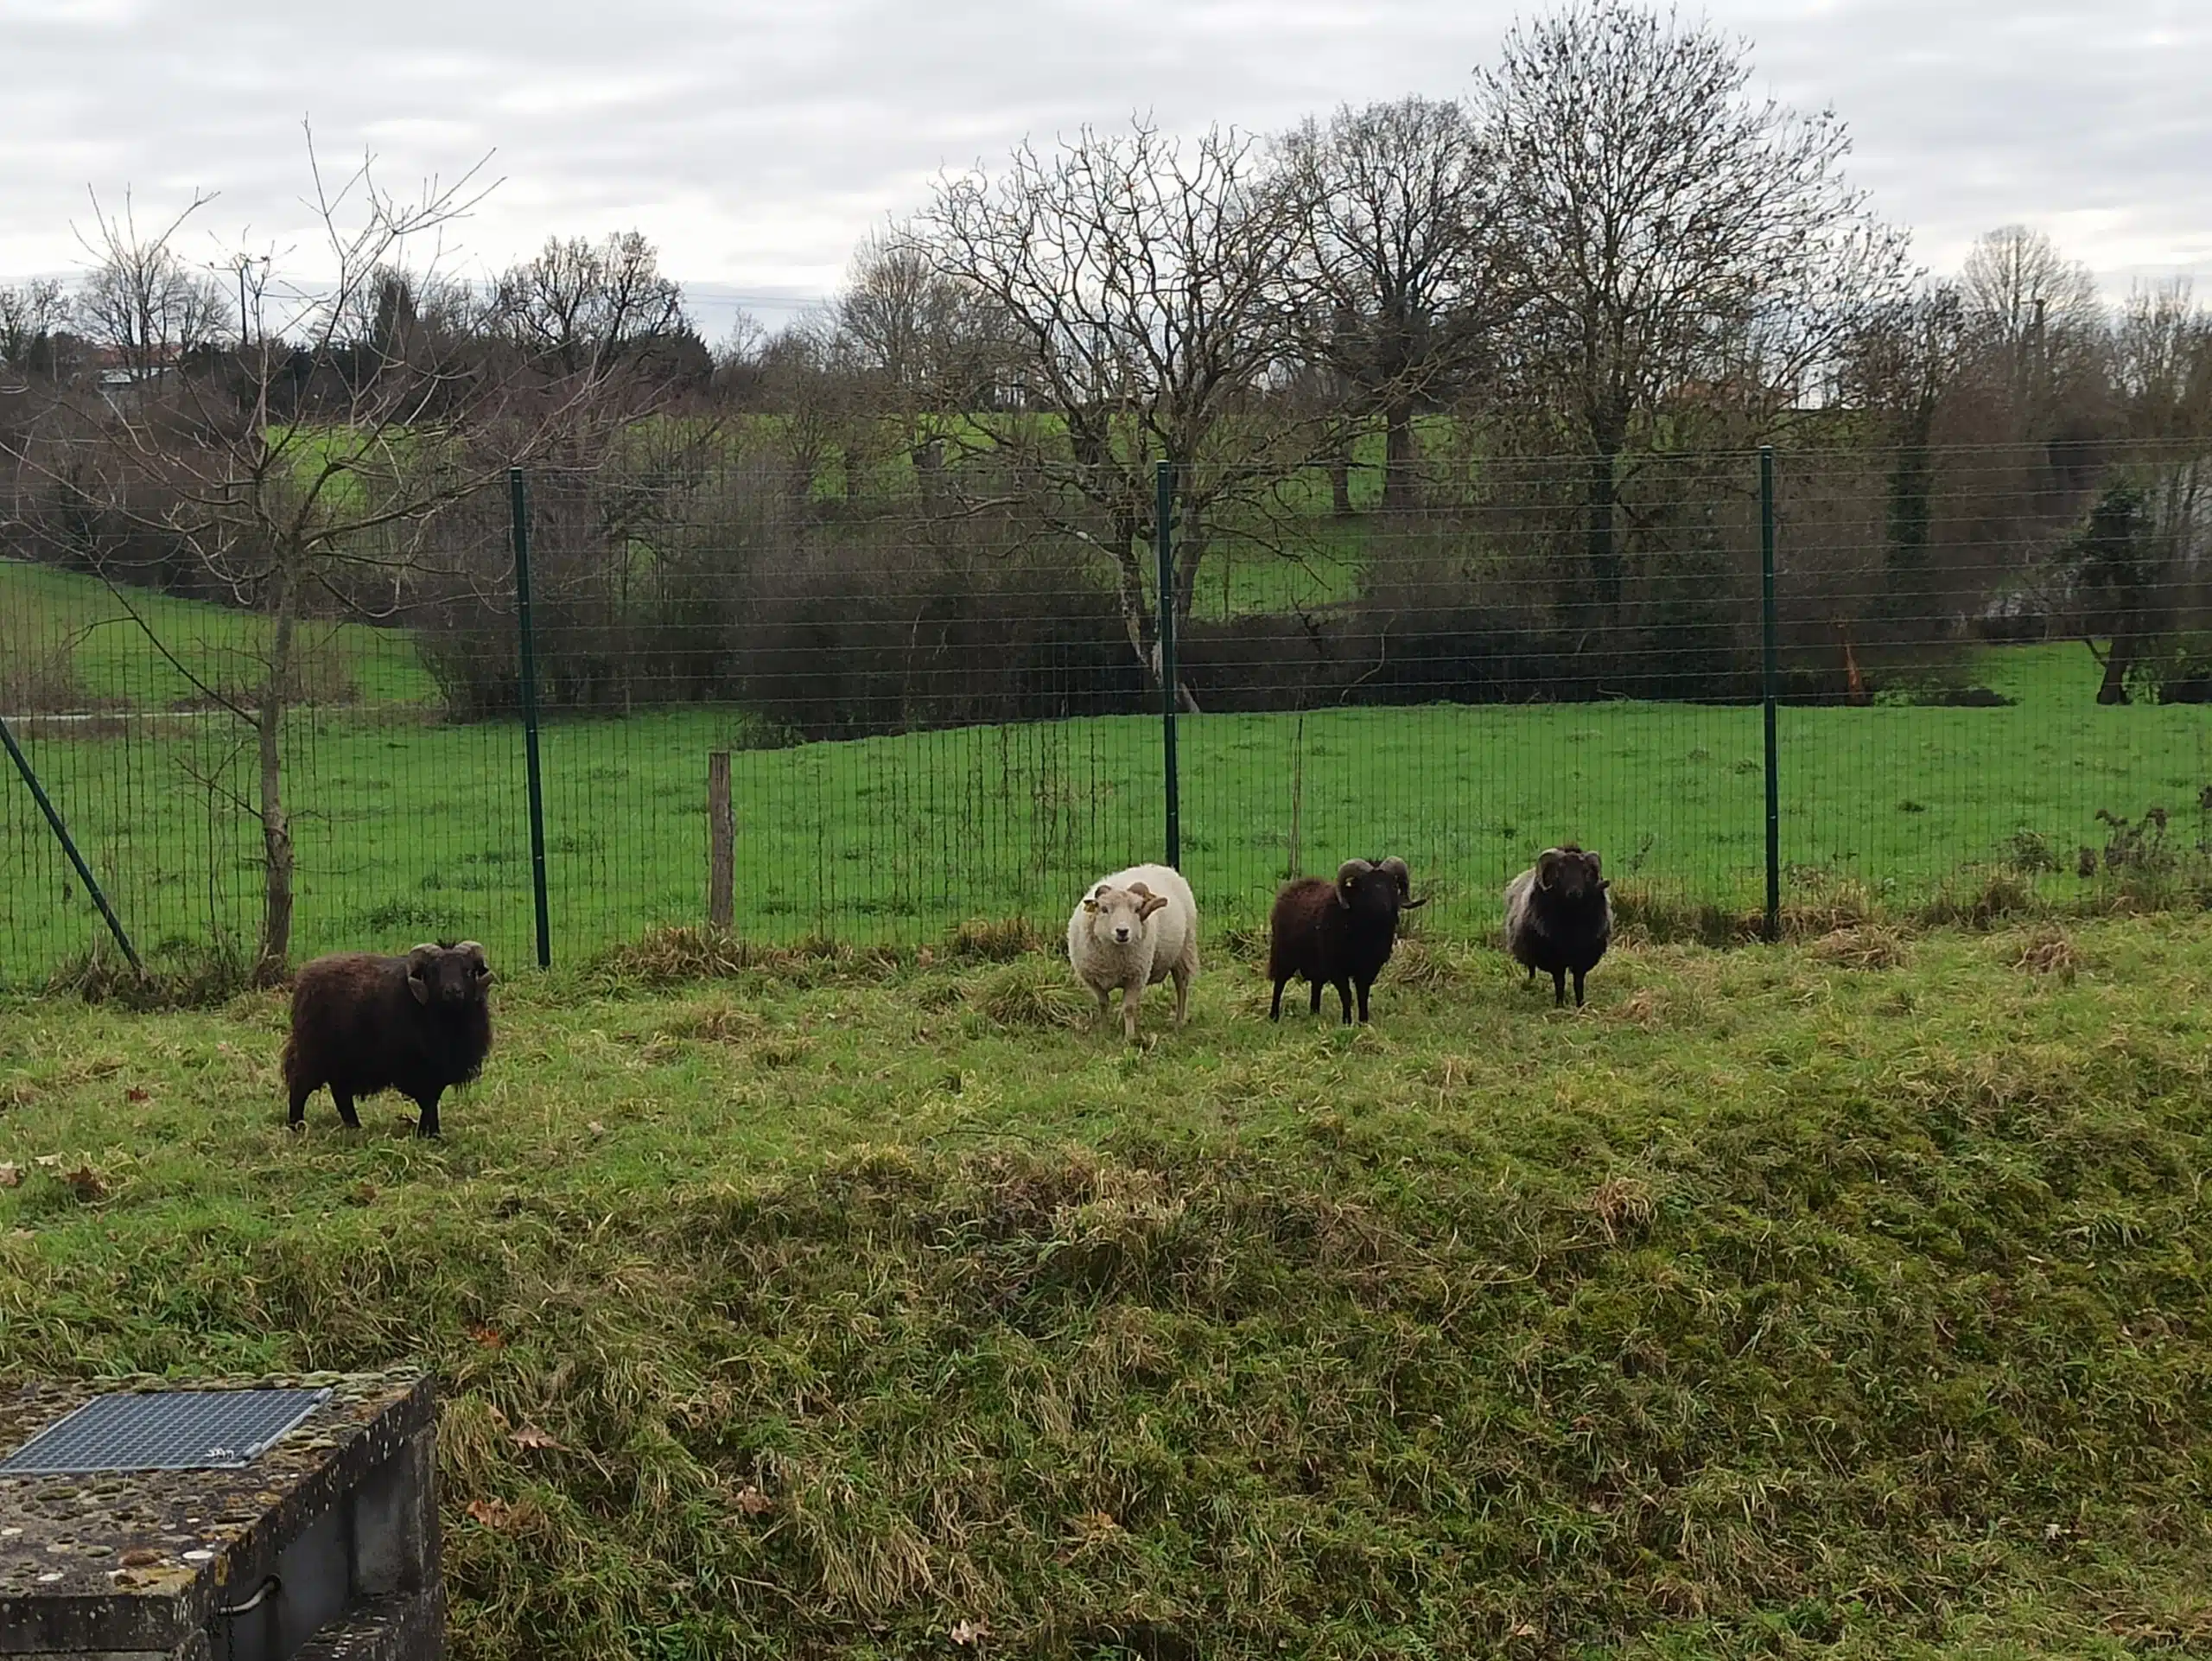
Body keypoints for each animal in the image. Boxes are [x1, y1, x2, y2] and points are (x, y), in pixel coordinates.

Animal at [283, 942, 495, 1141]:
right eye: (433, 971)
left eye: (468, 970)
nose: (453, 992)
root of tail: (303, 977)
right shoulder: (416, 1069)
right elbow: (428, 1101)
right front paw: (429, 1134)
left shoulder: (438, 1069)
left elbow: (433, 1098)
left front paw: (430, 1133)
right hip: (313, 1053)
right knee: (299, 1084)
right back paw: (296, 1126)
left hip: (342, 1060)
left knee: (340, 1092)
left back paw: (355, 1126)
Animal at [1065, 871, 1203, 1039]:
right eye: (1104, 909)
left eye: (1137, 909)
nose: (1122, 931)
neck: (1113, 959)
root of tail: (1168, 869)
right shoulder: (1092, 979)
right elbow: (1103, 1004)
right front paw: (1104, 1031)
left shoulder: (1136, 977)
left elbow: (1129, 1007)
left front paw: (1129, 1037)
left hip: (1184, 951)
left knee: (1181, 987)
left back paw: (1179, 1021)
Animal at [1274, 857, 1424, 1026]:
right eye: (1364, 887)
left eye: (1393, 885)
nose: (1384, 908)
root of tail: (1293, 887)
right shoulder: (1336, 968)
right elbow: (1346, 994)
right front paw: (1347, 1022)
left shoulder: (1369, 968)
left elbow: (1362, 994)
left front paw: (1364, 1022)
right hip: (1284, 955)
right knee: (1279, 982)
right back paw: (1274, 1016)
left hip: (1315, 963)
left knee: (1316, 984)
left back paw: (1314, 1013)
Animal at [1495, 849, 1618, 1009]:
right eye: (1560, 871)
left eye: (1586, 871)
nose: (1574, 892)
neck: (1571, 922)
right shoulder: (1554, 959)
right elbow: (1559, 982)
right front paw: (1559, 1004)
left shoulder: (1582, 958)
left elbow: (1578, 983)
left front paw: (1580, 1004)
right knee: (1531, 968)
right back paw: (1532, 983)